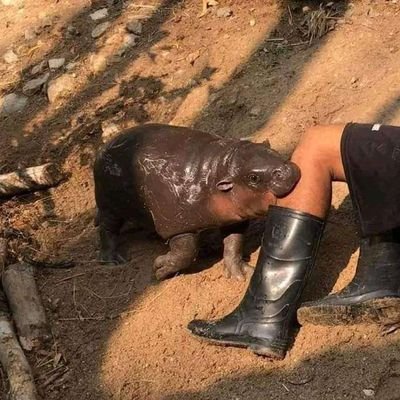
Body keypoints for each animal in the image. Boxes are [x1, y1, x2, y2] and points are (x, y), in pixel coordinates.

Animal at [94, 123, 300, 280]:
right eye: (253, 178)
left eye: (272, 150)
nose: (288, 170)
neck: (218, 170)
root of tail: (103, 147)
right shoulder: (177, 225)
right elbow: (186, 252)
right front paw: (159, 269)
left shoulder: (233, 218)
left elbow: (234, 243)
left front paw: (242, 274)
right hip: (109, 204)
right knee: (107, 228)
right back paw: (113, 260)